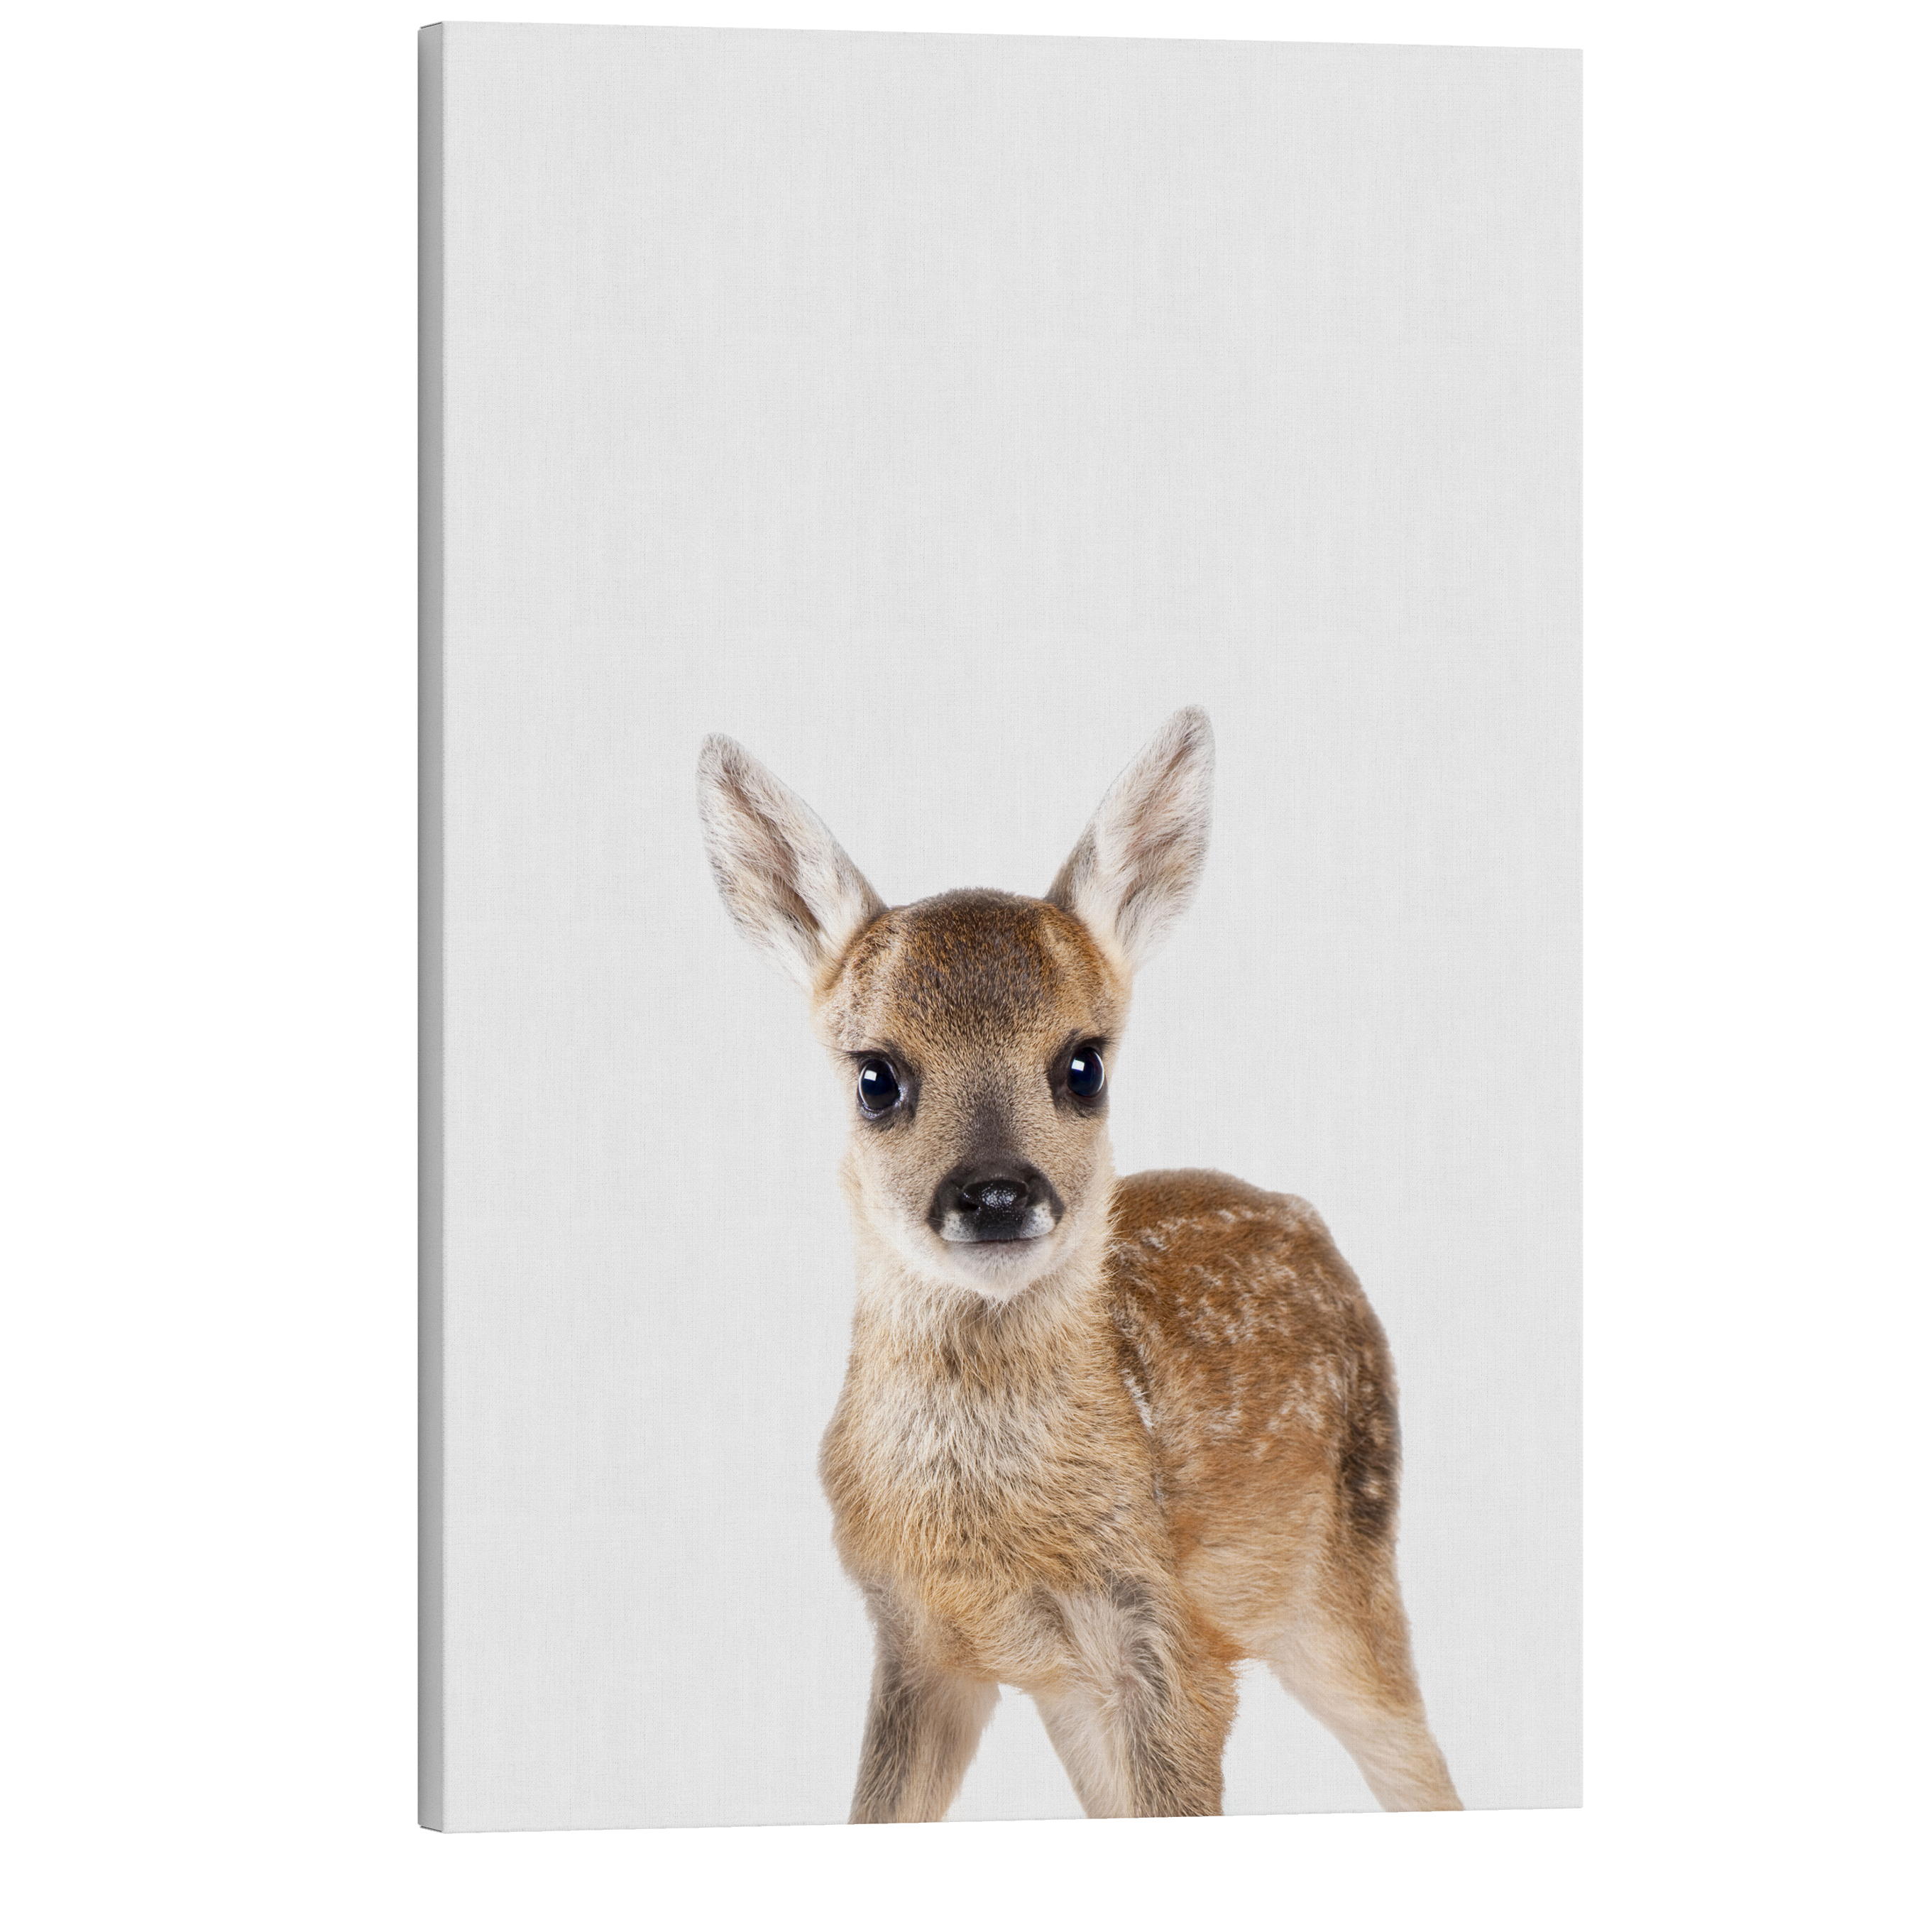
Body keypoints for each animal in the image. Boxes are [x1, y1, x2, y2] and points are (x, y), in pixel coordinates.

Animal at [696, 707, 1460, 1822]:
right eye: (876, 1077)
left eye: (1083, 1065)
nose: (995, 1192)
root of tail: (1307, 1217)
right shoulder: (918, 1638)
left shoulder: (1171, 1640)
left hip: (1345, 1564)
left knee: (1420, 1763)